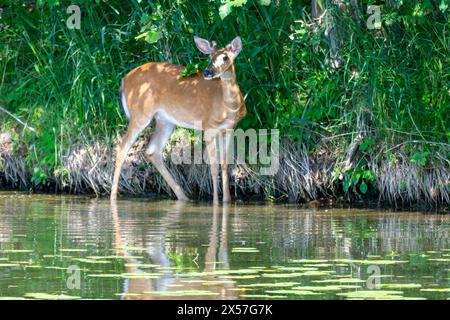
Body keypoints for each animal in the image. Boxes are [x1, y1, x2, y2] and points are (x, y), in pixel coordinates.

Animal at [111, 35, 246, 205]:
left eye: (225, 57)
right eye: (210, 57)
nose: (208, 72)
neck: (228, 106)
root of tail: (124, 80)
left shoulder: (228, 128)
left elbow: (225, 166)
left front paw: (227, 202)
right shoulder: (208, 126)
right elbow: (214, 167)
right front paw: (216, 203)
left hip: (165, 121)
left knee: (152, 150)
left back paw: (184, 197)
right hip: (140, 113)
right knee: (122, 148)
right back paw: (113, 198)